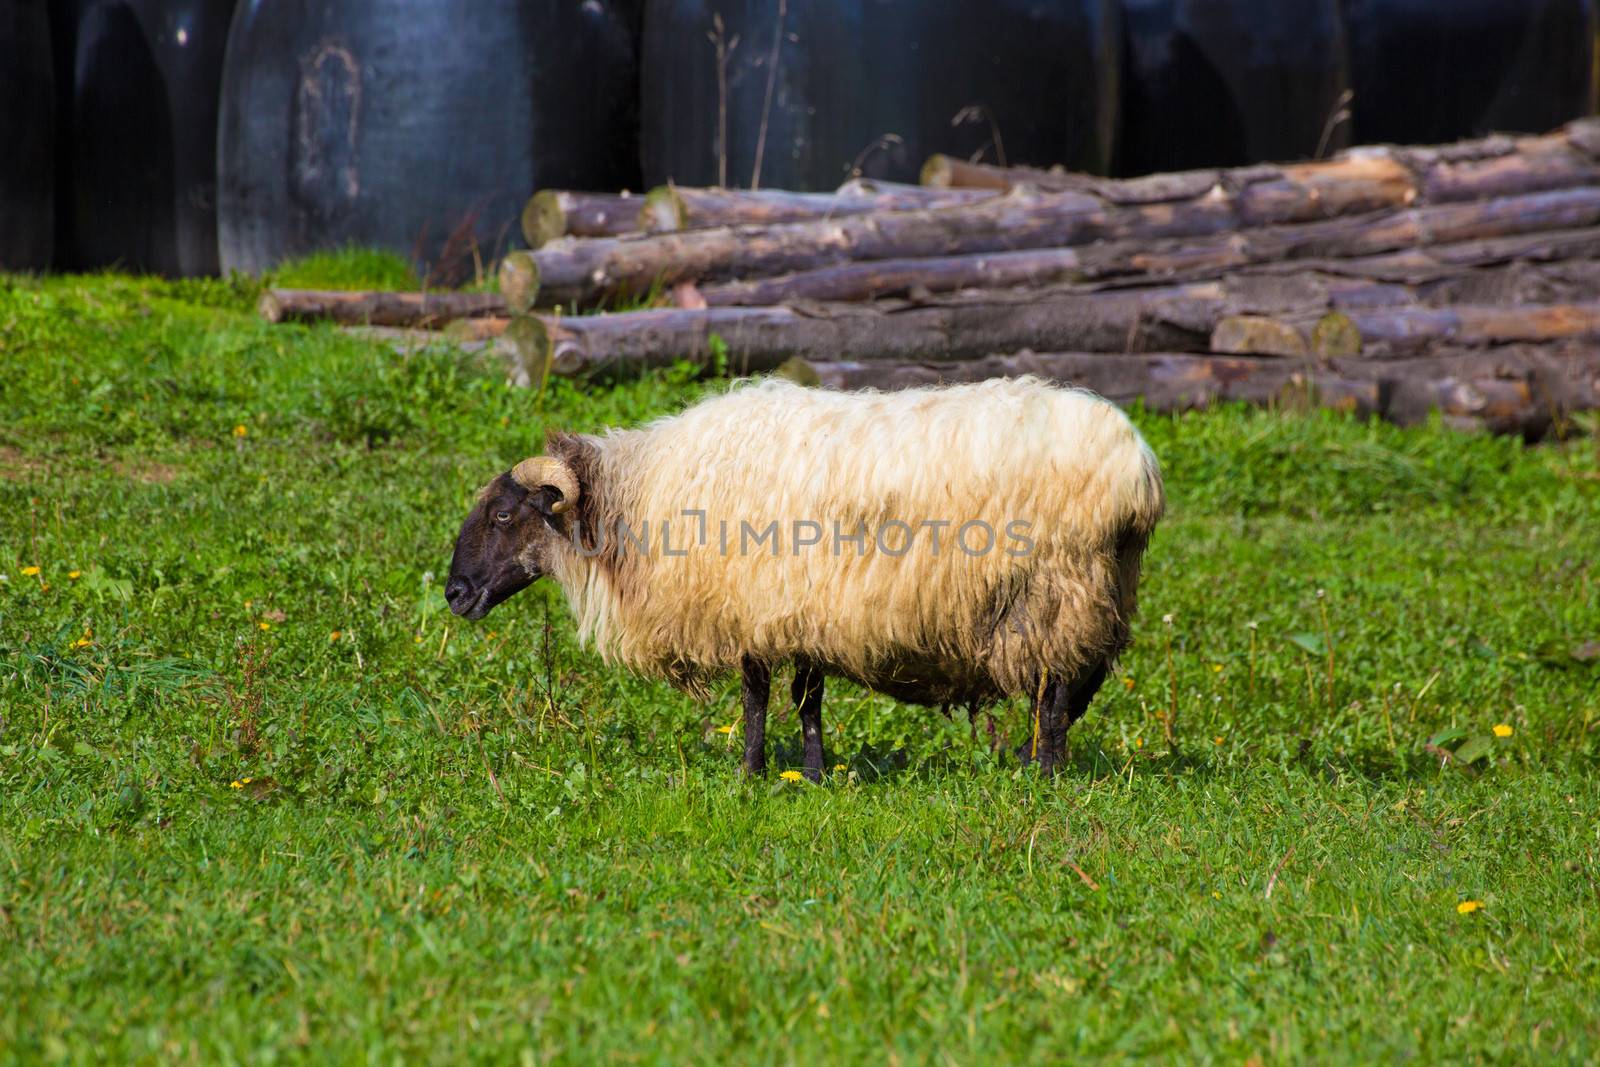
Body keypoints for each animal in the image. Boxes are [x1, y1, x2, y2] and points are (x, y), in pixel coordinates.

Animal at [444, 379, 1171, 780]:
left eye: (505, 514)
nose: (454, 594)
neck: (638, 498)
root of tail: (1138, 468)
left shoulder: (755, 603)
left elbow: (758, 697)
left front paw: (751, 772)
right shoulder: (798, 605)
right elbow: (805, 697)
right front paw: (813, 773)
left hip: (1059, 589)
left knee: (1057, 691)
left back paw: (1043, 775)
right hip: (1098, 589)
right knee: (1073, 687)